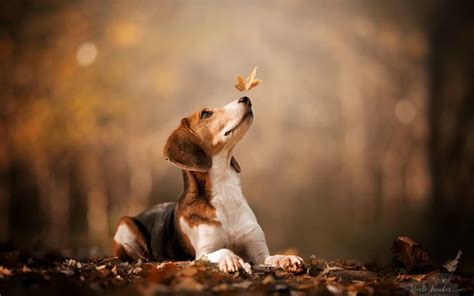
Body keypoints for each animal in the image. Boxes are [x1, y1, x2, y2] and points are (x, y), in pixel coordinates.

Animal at [113, 97, 302, 272]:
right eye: (205, 114)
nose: (245, 98)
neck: (224, 188)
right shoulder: (204, 252)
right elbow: (224, 250)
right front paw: (231, 259)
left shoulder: (259, 252)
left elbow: (272, 257)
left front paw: (286, 258)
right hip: (125, 226)